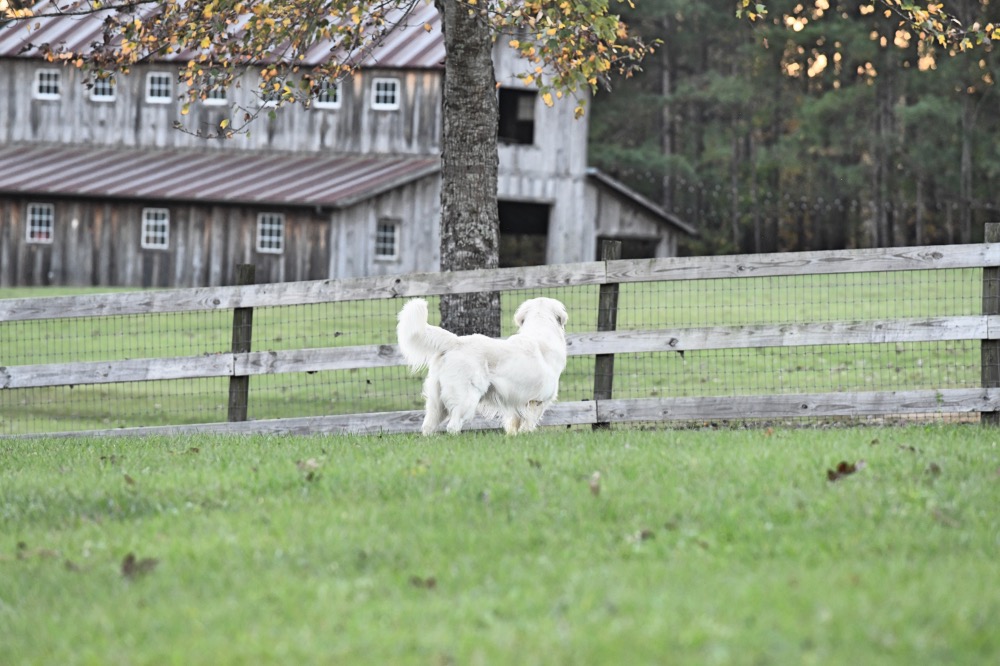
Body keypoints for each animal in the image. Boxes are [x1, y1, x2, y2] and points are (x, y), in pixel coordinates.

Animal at [398, 296, 572, 436]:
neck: (541, 329)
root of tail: (455, 341)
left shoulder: (516, 402)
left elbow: (515, 422)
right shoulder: (537, 401)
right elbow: (529, 422)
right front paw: (526, 434)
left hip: (436, 402)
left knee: (428, 427)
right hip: (466, 399)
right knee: (452, 426)